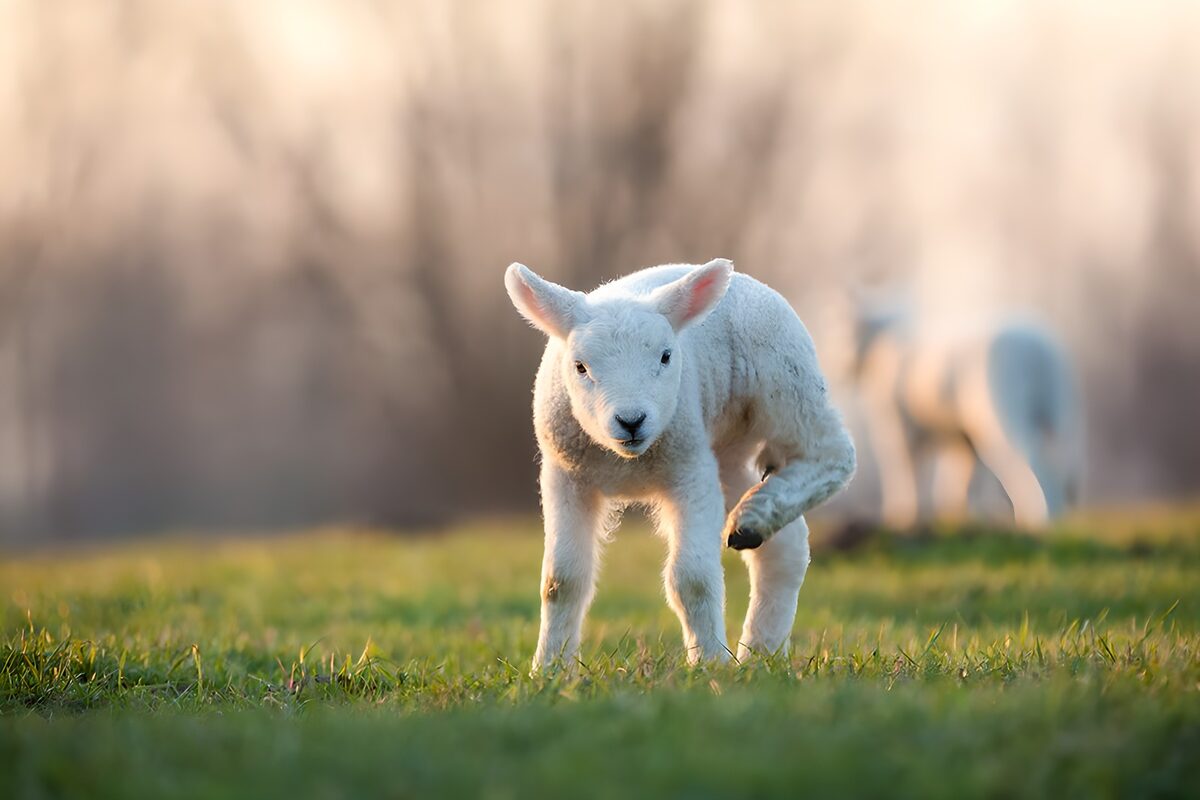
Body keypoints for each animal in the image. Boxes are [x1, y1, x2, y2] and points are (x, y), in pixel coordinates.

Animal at [504, 259, 856, 668]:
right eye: (580, 367)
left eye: (665, 356)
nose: (631, 420)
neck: (628, 461)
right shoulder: (566, 478)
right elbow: (562, 581)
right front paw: (550, 669)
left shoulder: (690, 472)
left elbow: (693, 579)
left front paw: (710, 664)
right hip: (726, 451)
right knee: (785, 546)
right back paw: (760, 645)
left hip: (785, 383)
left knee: (832, 453)